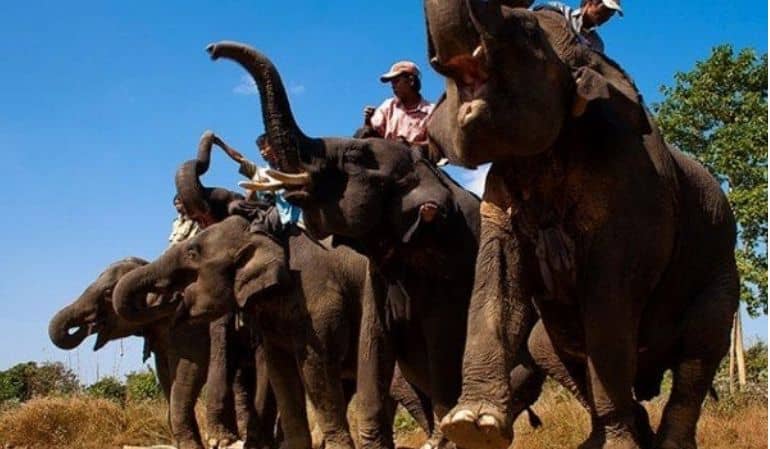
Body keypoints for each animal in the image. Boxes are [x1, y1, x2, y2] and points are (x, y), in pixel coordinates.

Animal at [48, 257, 277, 449]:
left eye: (107, 293)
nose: (86, 326)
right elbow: (166, 375)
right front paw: (187, 444)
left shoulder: (191, 328)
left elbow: (190, 371)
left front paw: (194, 446)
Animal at [113, 211, 439, 449]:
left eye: (193, 253)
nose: (169, 299)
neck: (271, 236)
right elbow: (281, 370)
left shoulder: (320, 300)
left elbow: (316, 368)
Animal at [204, 41, 546, 449]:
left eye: (354, 157)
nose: (211, 51)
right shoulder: (377, 279)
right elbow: (373, 350)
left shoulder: (450, 266)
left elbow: (441, 351)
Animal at [423, 2, 740, 449]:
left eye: (528, 33)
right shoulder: (497, 195)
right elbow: (497, 286)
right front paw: (472, 425)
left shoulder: (631, 191)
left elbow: (608, 306)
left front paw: (620, 447)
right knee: (545, 346)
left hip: (721, 272)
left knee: (702, 343)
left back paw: (661, 442)